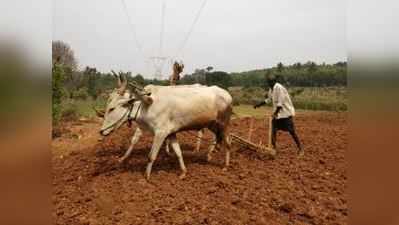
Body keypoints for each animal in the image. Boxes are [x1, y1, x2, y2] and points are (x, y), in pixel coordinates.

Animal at [98, 76, 233, 180]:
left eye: (112, 108)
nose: (101, 131)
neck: (145, 105)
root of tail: (227, 95)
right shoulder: (171, 133)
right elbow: (178, 153)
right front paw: (183, 172)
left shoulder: (160, 133)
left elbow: (151, 156)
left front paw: (146, 177)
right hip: (212, 125)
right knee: (217, 139)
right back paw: (210, 154)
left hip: (224, 124)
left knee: (227, 143)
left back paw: (225, 166)